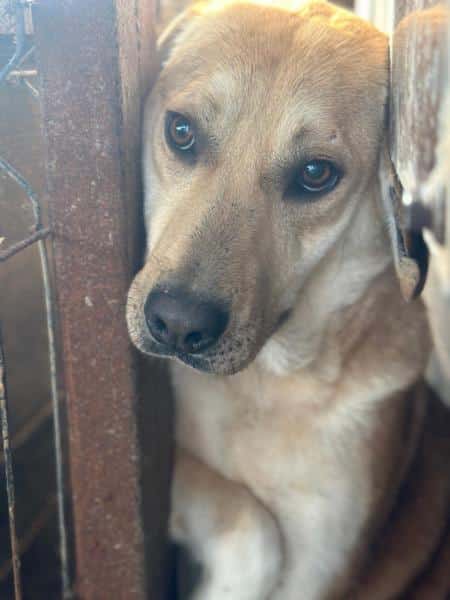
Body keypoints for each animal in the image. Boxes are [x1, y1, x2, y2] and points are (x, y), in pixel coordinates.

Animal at [126, 1, 450, 597]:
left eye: (315, 174)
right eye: (180, 131)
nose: (177, 324)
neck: (263, 389)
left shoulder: (322, 561)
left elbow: (259, 537)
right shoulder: (160, 462)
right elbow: (252, 523)